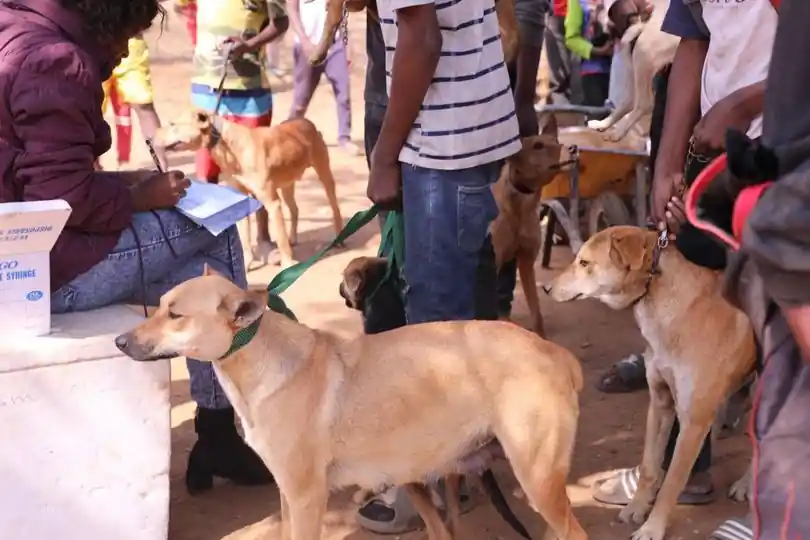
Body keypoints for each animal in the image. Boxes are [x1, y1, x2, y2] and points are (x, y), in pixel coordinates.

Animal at [153, 112, 342, 270]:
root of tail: (305, 121)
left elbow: (280, 239)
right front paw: (248, 264)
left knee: (335, 207)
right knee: (295, 209)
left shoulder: (272, 203)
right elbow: (245, 238)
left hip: (324, 174)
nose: (151, 136)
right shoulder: (243, 199)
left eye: (172, 124)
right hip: (287, 184)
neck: (227, 145)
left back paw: (338, 238)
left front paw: (288, 265)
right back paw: (293, 238)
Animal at [540, 227, 756, 540]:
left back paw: (746, 485)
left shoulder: (694, 422)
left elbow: (672, 482)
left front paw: (652, 527)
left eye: (584, 262)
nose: (545, 288)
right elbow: (649, 468)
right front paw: (636, 508)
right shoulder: (660, 402)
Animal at [584, 0, 680, 141]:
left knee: (645, 104)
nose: (593, 42)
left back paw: (619, 132)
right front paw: (603, 124)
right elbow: (623, 106)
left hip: (642, 52)